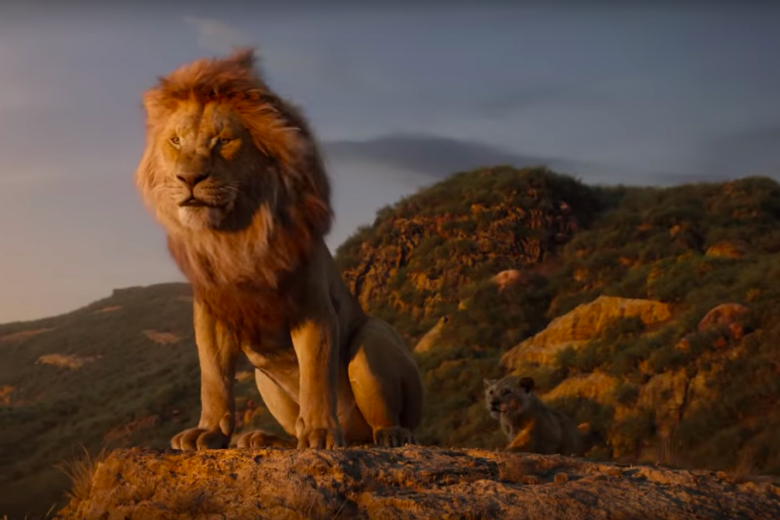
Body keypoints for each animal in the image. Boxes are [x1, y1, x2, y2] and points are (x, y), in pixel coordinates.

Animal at [134, 49, 424, 450]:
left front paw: (320, 434)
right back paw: (266, 440)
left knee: (392, 418)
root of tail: (355, 436)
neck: (234, 236)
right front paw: (208, 432)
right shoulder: (211, 315)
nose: (188, 178)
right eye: (175, 141)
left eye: (223, 140)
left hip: (374, 338)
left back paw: (389, 435)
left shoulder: (313, 307)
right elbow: (213, 379)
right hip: (263, 378)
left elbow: (316, 374)